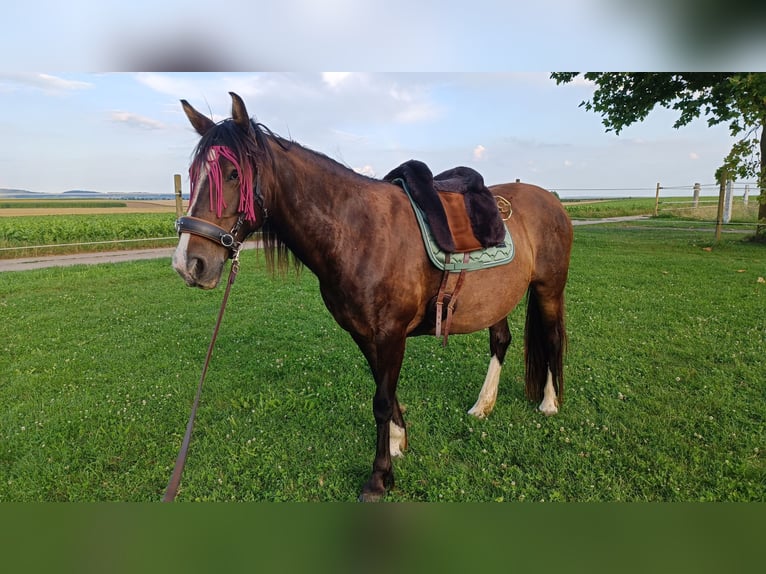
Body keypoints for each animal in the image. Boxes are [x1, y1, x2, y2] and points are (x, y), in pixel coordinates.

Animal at [172, 92, 568, 502]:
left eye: (233, 174)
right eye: (194, 175)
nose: (189, 264)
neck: (357, 232)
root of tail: (551, 200)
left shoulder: (391, 333)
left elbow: (380, 400)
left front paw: (380, 477)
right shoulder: (364, 334)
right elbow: (385, 392)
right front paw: (397, 442)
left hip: (549, 289)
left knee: (553, 338)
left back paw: (549, 403)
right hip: (497, 299)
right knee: (500, 340)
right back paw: (483, 406)